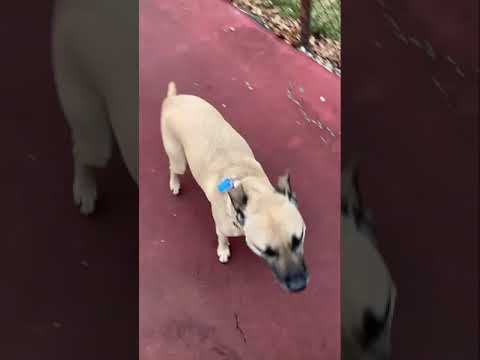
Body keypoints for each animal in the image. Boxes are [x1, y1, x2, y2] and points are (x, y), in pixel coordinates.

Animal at [160, 82, 308, 292]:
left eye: (299, 238)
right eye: (266, 251)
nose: (299, 286)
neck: (248, 184)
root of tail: (173, 99)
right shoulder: (221, 228)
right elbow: (222, 238)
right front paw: (223, 250)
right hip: (178, 158)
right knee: (173, 168)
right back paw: (174, 184)